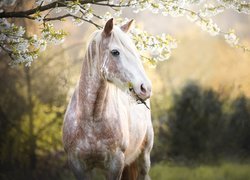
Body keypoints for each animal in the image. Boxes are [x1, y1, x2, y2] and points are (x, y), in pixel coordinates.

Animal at [62, 18, 153, 180]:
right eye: (115, 52)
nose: (145, 88)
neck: (91, 119)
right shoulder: (78, 165)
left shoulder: (115, 164)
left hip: (144, 158)